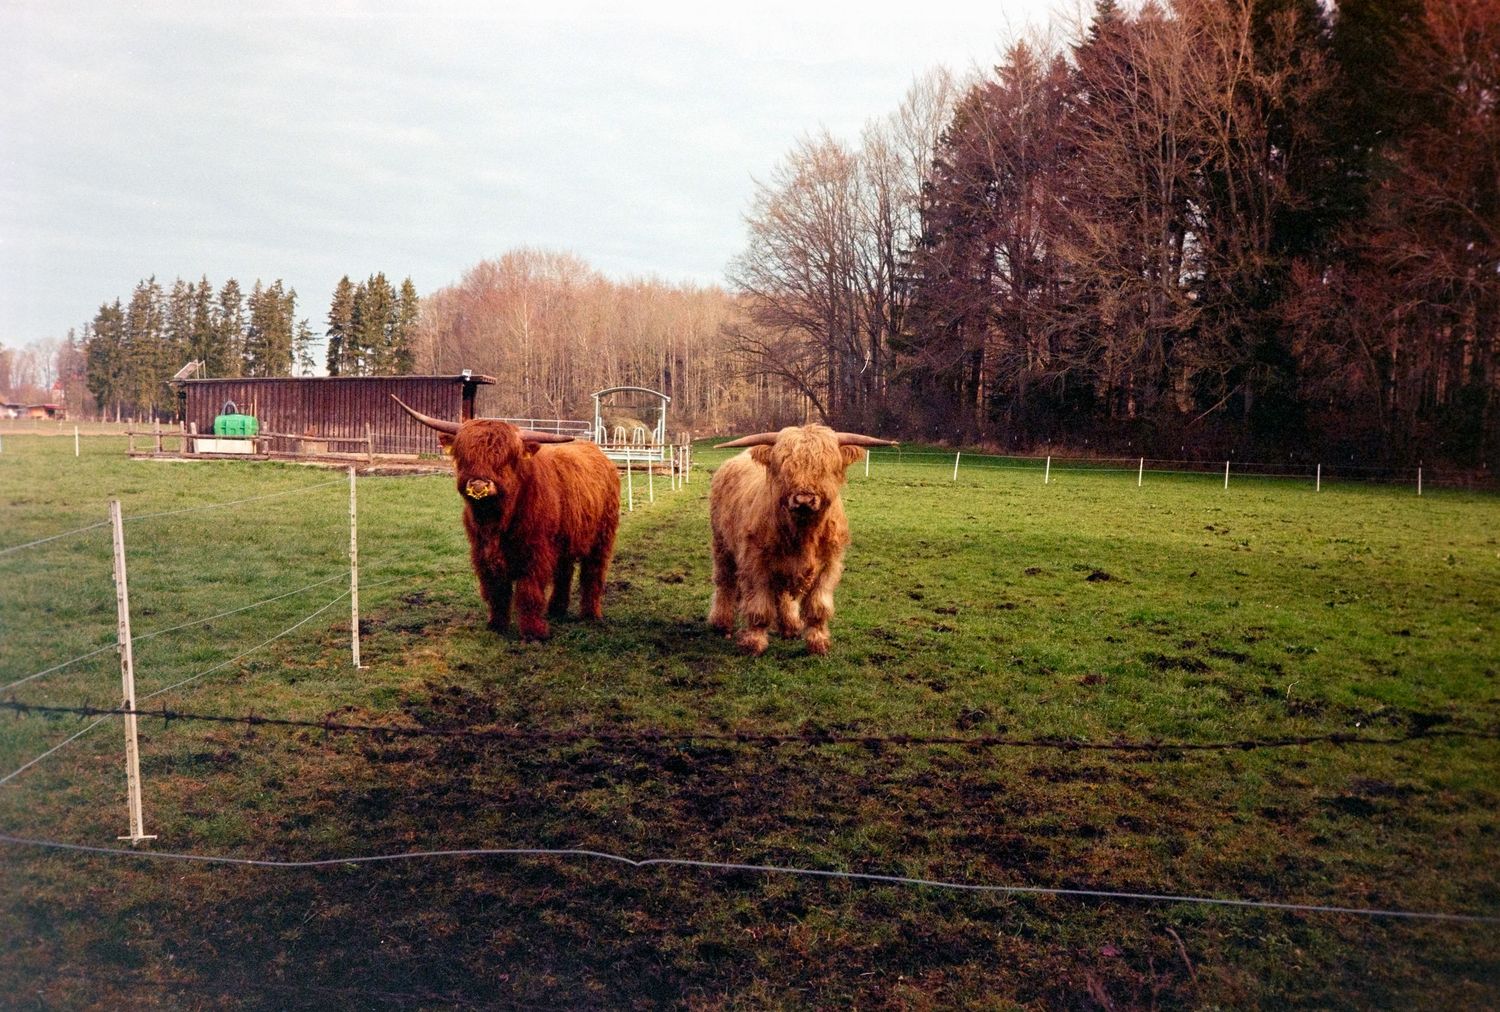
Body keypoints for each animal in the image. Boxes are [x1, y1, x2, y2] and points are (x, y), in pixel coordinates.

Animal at [393, 397, 620, 640]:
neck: (495, 519)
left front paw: (533, 633)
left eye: (505, 458)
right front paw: (497, 625)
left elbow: (529, 593)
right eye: (464, 455)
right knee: (564, 572)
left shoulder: (535, 553)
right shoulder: (482, 553)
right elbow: (496, 591)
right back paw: (556, 610)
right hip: (565, 540)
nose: (479, 485)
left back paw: (591, 615)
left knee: (593, 574)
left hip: (602, 537)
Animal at [709, 425, 896, 655]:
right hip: (721, 545)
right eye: (785, 466)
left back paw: (790, 626)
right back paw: (721, 624)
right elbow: (759, 607)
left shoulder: (828, 565)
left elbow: (818, 607)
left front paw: (819, 643)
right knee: (724, 582)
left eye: (825, 467)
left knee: (782, 594)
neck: (803, 534)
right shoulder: (756, 562)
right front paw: (754, 642)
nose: (804, 499)